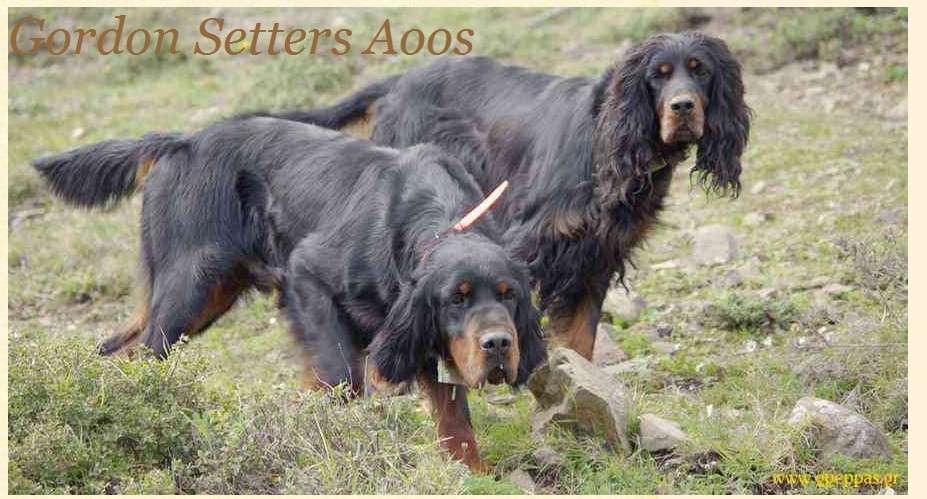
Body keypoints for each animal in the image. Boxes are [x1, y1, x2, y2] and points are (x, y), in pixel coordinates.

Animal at [32, 117, 548, 472]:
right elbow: (339, 376)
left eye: (509, 296)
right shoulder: (307, 276)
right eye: (456, 299)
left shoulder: (421, 337)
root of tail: (181, 143)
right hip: (190, 289)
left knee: (115, 348)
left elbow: (454, 421)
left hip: (205, 295)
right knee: (142, 352)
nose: (498, 344)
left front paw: (474, 476)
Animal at [272, 30, 752, 360]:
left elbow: (580, 338)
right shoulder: (526, 242)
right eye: (658, 75)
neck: (605, 140)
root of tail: (399, 81)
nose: (683, 107)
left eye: (701, 69)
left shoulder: (596, 256)